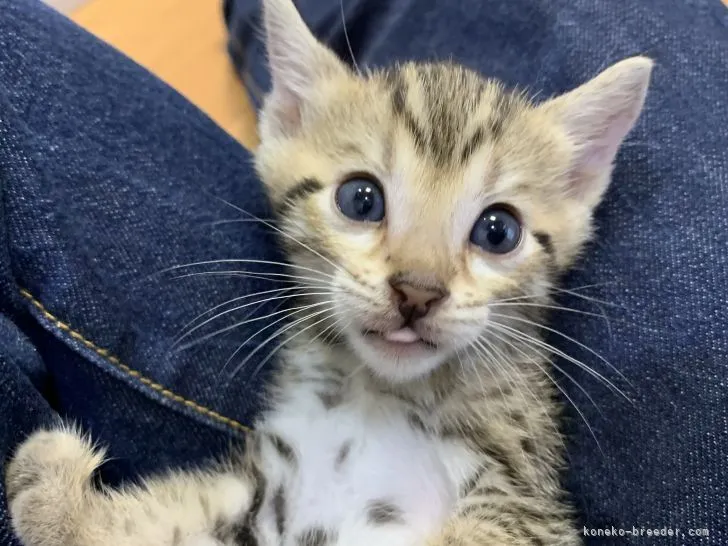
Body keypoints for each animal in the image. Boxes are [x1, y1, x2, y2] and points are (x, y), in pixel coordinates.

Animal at [4, 0, 656, 540]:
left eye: (498, 232)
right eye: (360, 200)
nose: (417, 292)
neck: (379, 393)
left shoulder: (524, 503)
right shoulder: (273, 493)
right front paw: (55, 499)